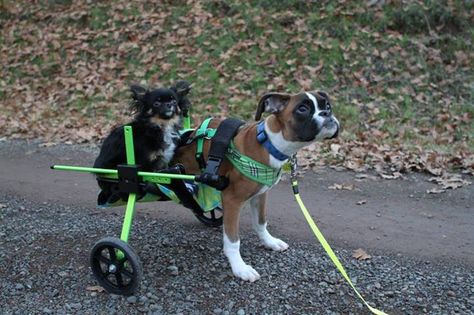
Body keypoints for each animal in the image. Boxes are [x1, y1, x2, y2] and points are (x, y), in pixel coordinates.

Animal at [172, 90, 338, 282]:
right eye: (302, 109)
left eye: (327, 106)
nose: (327, 114)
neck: (269, 144)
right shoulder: (232, 200)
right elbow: (233, 240)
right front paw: (239, 268)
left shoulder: (260, 195)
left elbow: (261, 222)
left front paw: (269, 242)